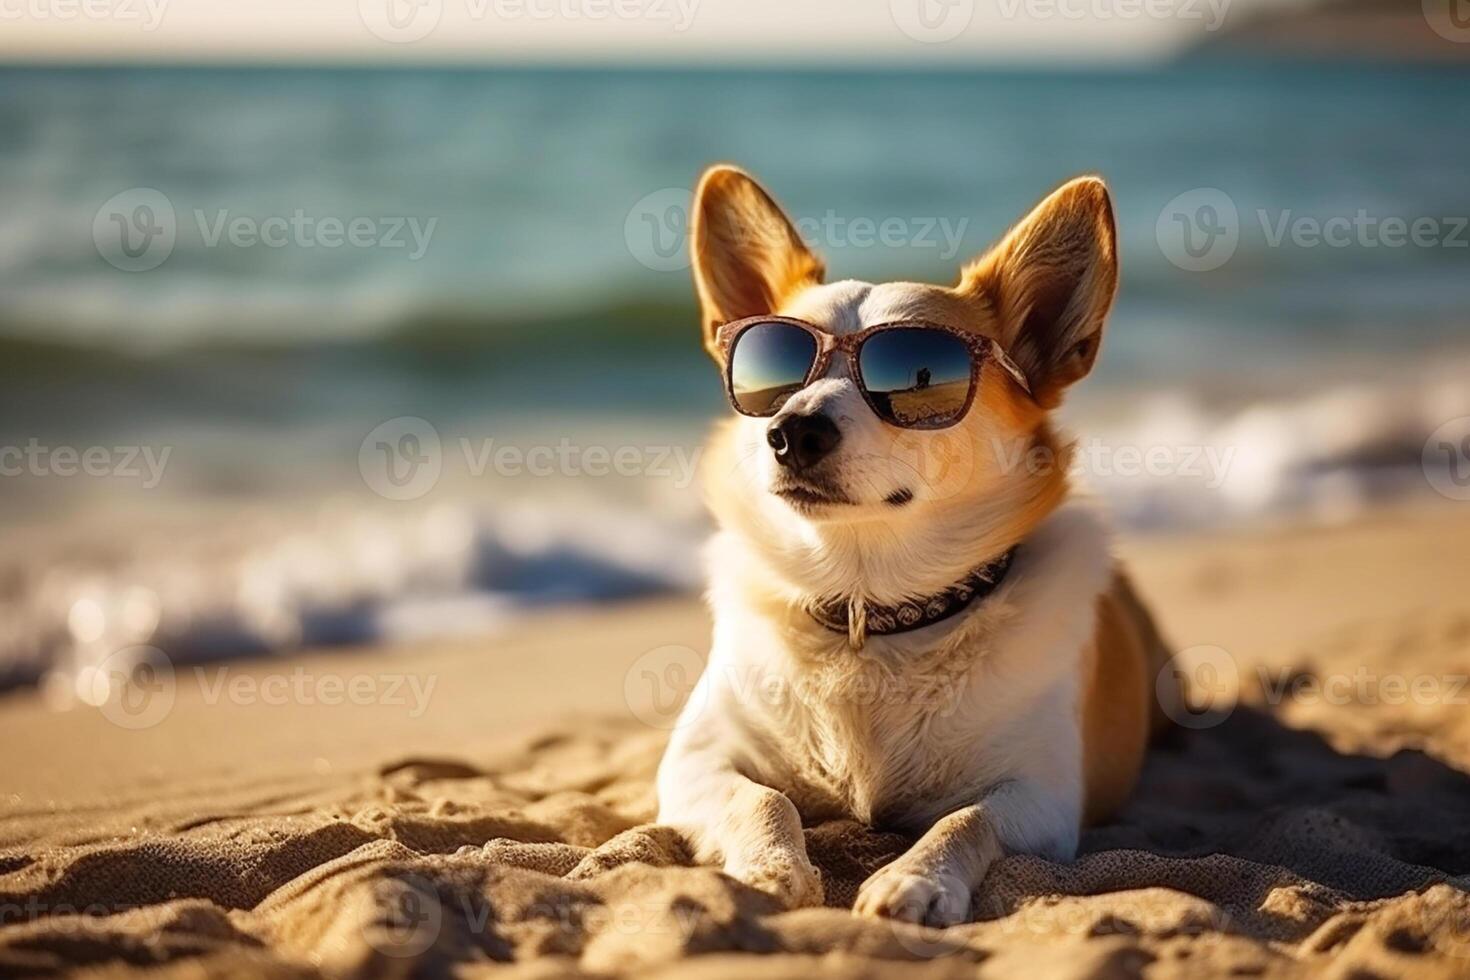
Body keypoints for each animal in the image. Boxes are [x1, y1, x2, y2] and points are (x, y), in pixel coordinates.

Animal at [655, 166, 1170, 928]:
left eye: (912, 371)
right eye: (775, 370)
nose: (792, 430)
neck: (869, 611)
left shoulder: (1043, 796)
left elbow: (964, 821)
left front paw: (915, 880)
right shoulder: (693, 762)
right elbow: (763, 798)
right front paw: (770, 867)